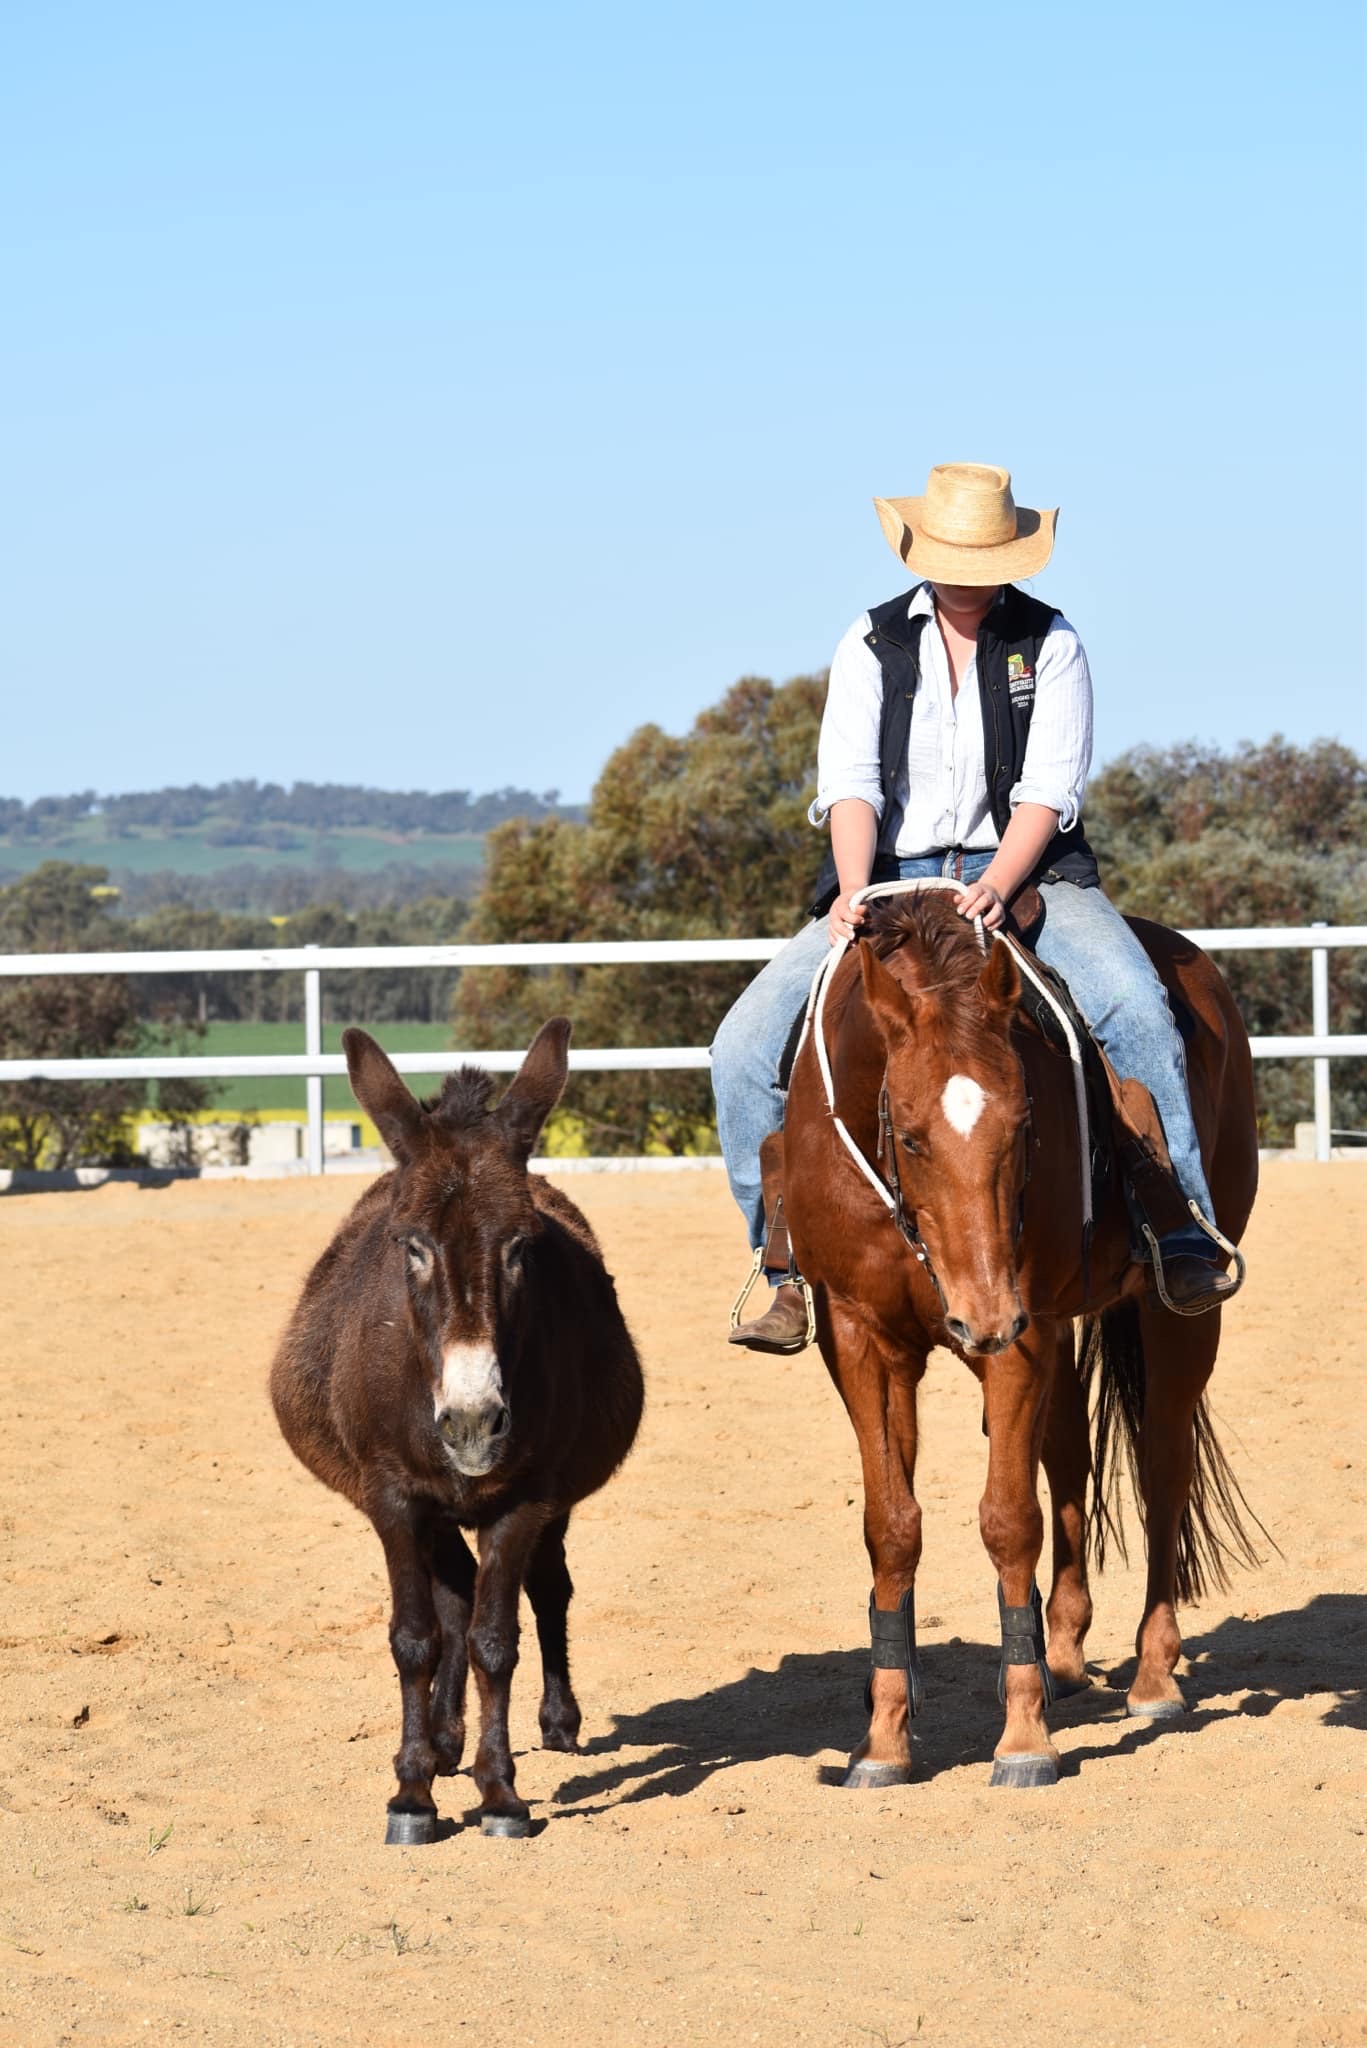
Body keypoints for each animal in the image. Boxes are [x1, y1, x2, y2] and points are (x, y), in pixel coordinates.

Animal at [269, 1019, 643, 1840]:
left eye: (521, 1245)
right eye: (410, 1245)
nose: (472, 1424)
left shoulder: (526, 1499)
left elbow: (495, 1641)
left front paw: (499, 1792)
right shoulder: (392, 1497)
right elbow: (416, 1637)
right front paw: (412, 1791)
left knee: (544, 1589)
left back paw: (554, 1722)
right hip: (429, 1508)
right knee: (452, 1595)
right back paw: (442, 1741)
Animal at [782, 884, 1261, 1789]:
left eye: (1025, 1125)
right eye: (908, 1135)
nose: (982, 1315)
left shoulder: (1024, 1333)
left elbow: (1008, 1520)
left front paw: (1023, 1738)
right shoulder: (860, 1340)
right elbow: (891, 1527)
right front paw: (885, 1738)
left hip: (1174, 1319)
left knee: (1161, 1467)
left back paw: (1151, 1676)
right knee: (1069, 1456)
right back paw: (1063, 1657)